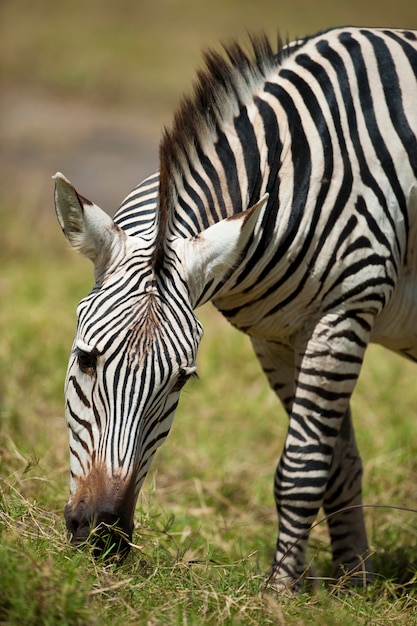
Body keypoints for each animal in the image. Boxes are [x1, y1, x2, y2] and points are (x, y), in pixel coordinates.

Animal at [53, 25, 416, 588]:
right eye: (86, 360)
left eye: (181, 381)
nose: (102, 534)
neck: (301, 168)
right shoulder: (280, 334)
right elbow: (339, 463)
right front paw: (353, 582)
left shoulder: (346, 312)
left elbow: (303, 467)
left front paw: (282, 592)